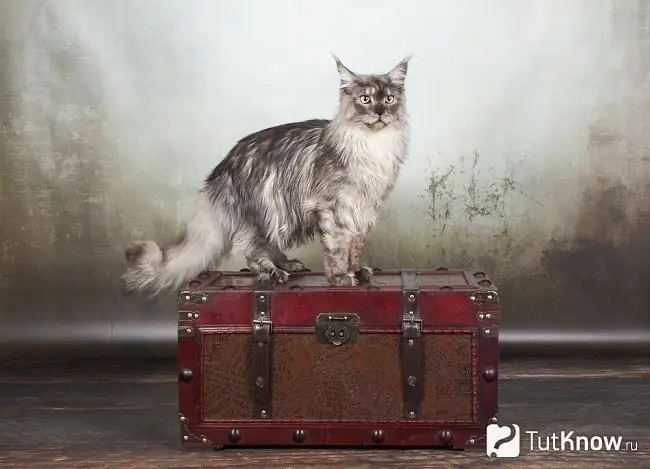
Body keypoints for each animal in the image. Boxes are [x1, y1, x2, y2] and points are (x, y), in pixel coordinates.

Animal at [121, 54, 410, 292]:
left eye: (388, 99)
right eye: (365, 99)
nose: (380, 112)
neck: (373, 146)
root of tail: (225, 165)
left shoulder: (364, 209)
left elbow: (354, 246)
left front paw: (357, 271)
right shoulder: (333, 209)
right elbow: (337, 248)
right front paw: (339, 277)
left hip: (281, 213)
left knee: (268, 245)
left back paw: (288, 264)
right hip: (269, 208)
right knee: (250, 249)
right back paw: (272, 272)